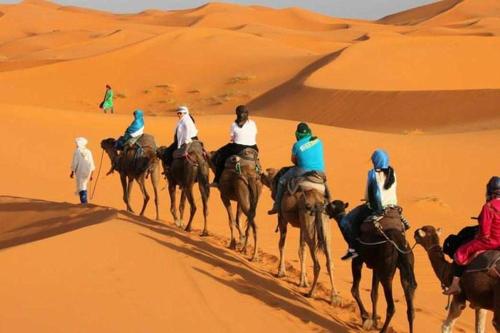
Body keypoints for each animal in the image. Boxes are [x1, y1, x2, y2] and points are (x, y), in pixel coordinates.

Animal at [262, 167, 340, 304]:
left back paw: (311, 293)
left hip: (307, 221)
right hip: (324, 227)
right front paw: (303, 281)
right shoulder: (302, 226)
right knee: (329, 261)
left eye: (267, 175)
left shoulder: (282, 218)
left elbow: (282, 245)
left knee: (317, 264)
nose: (260, 174)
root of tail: (317, 203)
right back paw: (334, 297)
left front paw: (281, 272)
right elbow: (301, 251)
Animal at [328, 200, 418, 332]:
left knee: (391, 306)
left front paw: (365, 317)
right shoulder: (376, 268)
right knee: (410, 306)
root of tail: (399, 242)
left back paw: (382, 330)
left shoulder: (357, 260)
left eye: (332, 205)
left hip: (386, 271)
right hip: (406, 265)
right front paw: (374, 321)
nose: (324, 207)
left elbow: (354, 290)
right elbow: (374, 294)